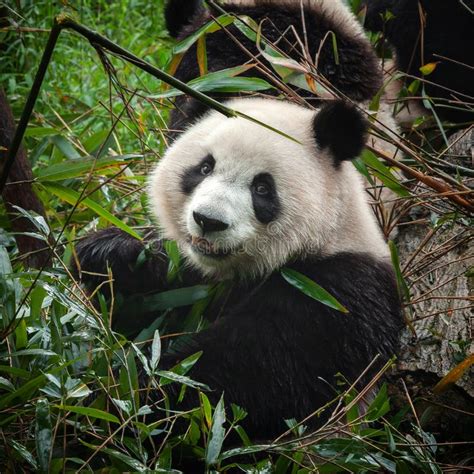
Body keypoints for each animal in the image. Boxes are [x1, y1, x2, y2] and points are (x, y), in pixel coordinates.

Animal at [76, 0, 402, 444]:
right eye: (203, 168)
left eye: (262, 189)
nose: (208, 221)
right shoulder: (190, 276)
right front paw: (110, 255)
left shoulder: (335, 295)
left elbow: (233, 383)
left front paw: (116, 403)